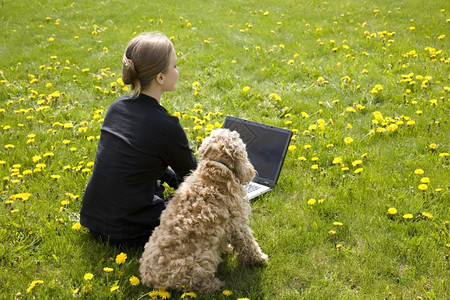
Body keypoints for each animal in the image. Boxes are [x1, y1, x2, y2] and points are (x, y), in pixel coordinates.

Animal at [140, 128, 268, 292]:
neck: (216, 169)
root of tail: (152, 282)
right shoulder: (238, 223)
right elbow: (249, 244)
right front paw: (259, 259)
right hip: (203, 261)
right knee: (194, 285)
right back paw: (215, 285)